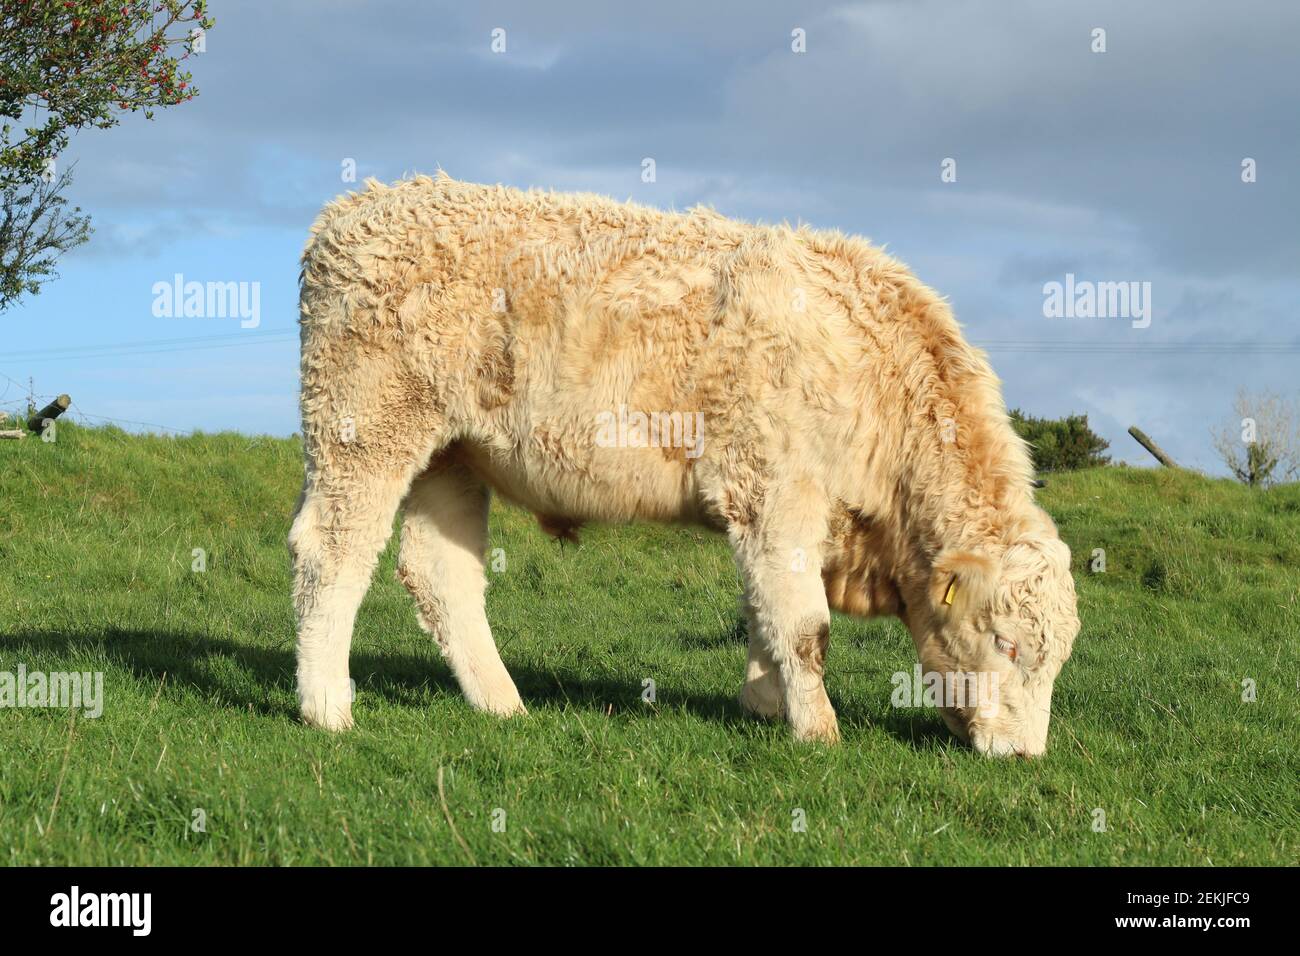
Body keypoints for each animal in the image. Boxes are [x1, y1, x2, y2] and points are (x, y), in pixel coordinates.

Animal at [289, 171, 1081, 754]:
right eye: (1006, 643)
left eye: (1057, 658)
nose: (1024, 756)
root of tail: (365, 203)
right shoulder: (776, 491)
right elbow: (805, 626)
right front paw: (818, 731)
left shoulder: (775, 512)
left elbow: (765, 610)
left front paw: (764, 702)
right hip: (366, 428)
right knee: (331, 551)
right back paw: (327, 706)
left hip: (453, 456)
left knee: (439, 575)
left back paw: (502, 705)